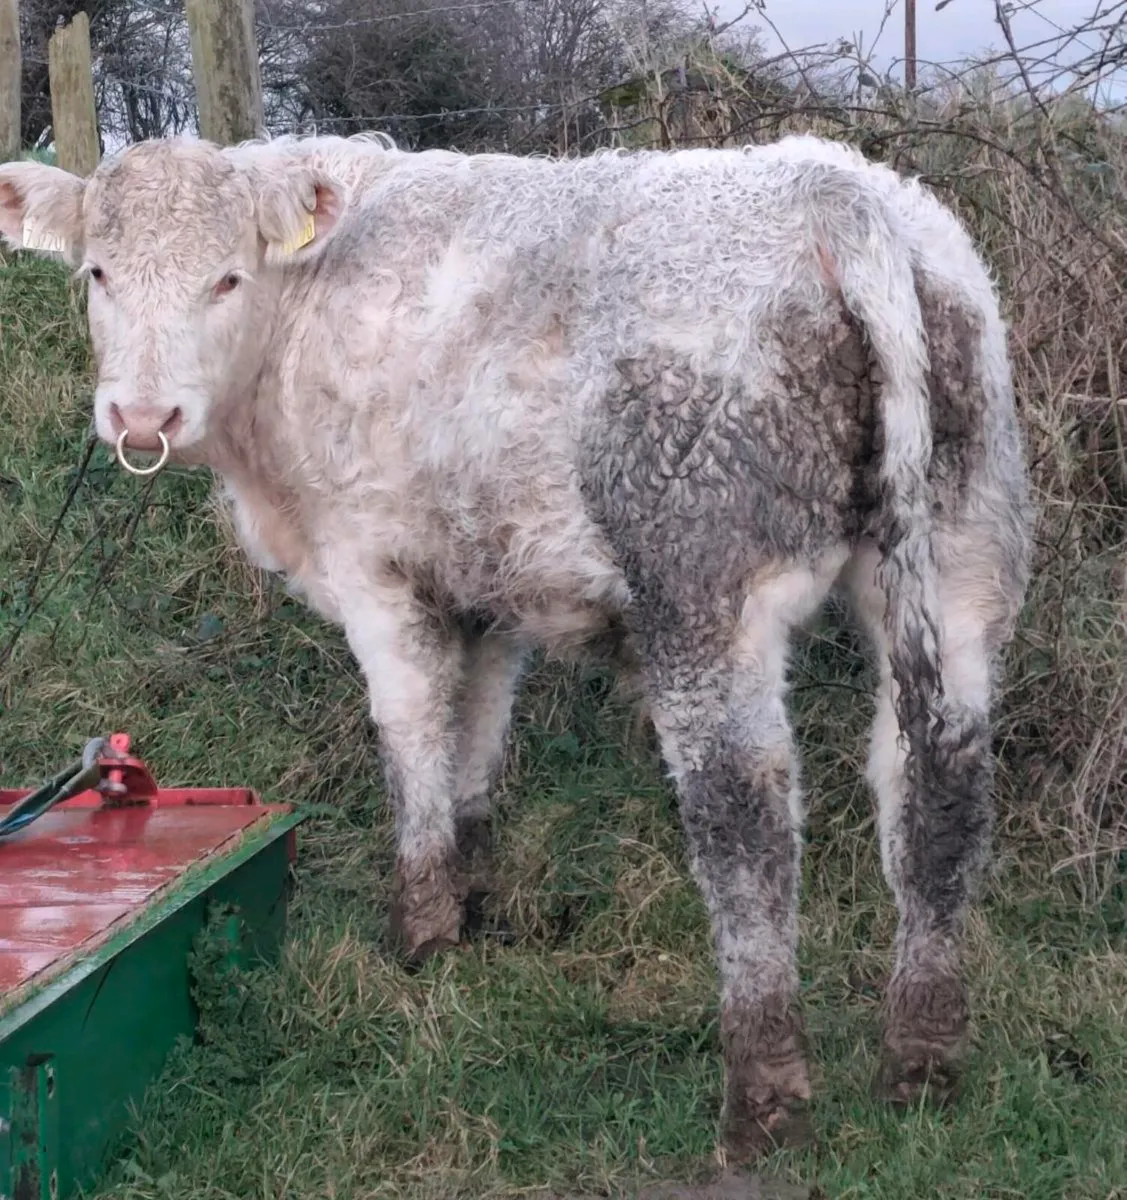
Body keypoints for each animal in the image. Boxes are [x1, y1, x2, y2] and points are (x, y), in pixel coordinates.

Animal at [0, 131, 1033, 1159]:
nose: (142, 420)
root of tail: (836, 188)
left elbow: (414, 732)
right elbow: (477, 736)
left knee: (746, 815)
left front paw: (421, 930)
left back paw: (762, 1101)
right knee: (937, 785)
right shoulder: (486, 585)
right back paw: (923, 1061)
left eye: (225, 278)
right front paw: (476, 904)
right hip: (959, 557)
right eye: (98, 273)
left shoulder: (373, 566)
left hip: (703, 587)